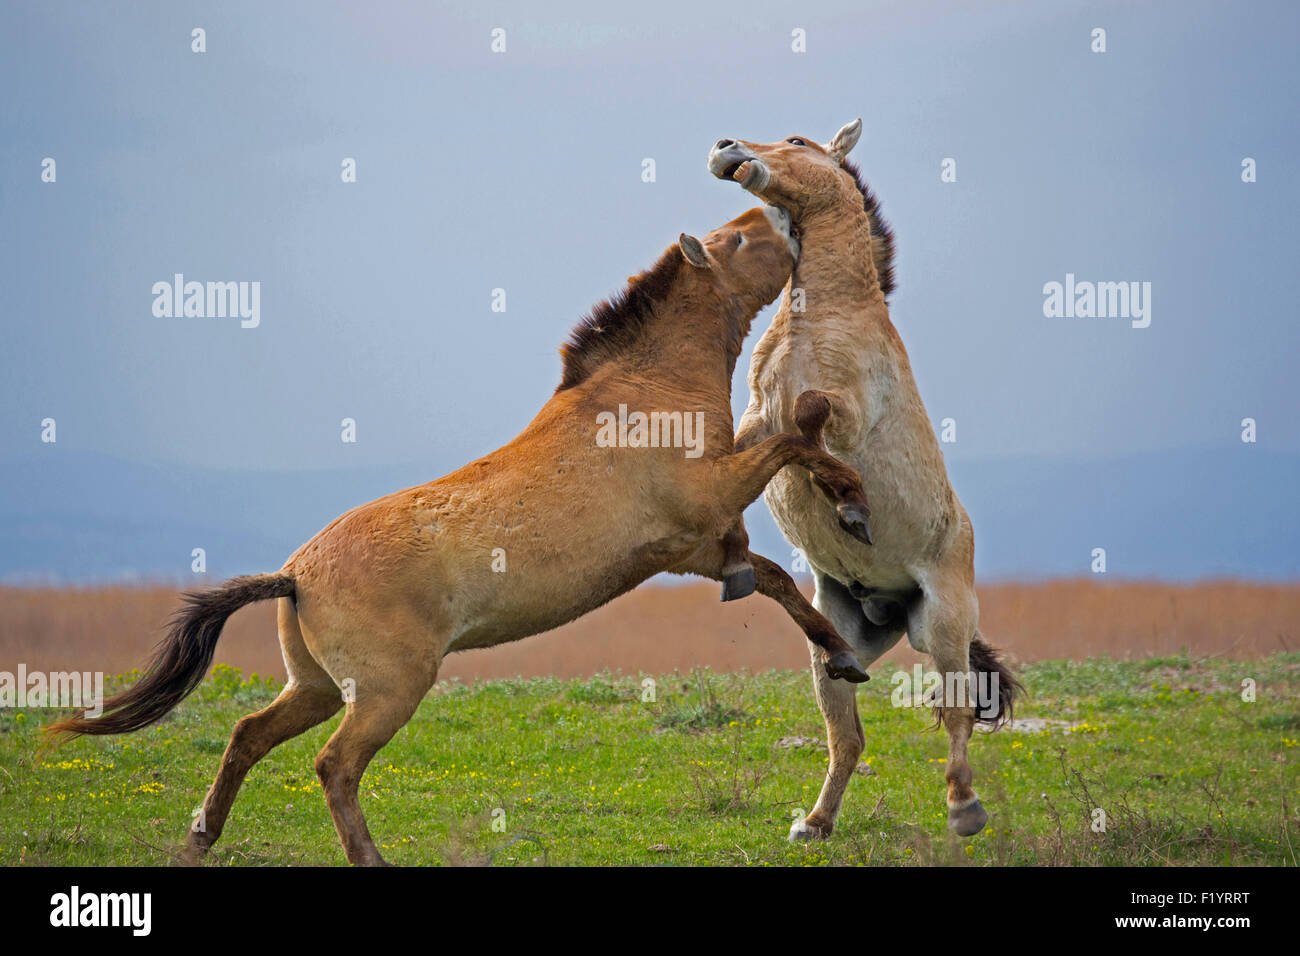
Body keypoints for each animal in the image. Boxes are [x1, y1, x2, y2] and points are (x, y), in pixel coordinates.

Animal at [45, 205, 873, 863]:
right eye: (737, 239)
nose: (786, 223)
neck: (646, 392)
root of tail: (296, 575)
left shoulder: (695, 549)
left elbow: (775, 578)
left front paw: (840, 652)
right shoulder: (708, 503)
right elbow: (791, 445)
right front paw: (853, 502)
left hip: (317, 687)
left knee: (250, 733)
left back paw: (200, 836)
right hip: (388, 692)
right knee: (334, 766)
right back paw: (368, 858)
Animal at [707, 123, 1019, 842]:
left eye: (797, 140)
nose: (726, 148)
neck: (821, 316)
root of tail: (892, 608)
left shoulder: (843, 414)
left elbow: (811, 415)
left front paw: (850, 505)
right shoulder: (756, 422)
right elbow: (757, 442)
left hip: (944, 628)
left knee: (957, 713)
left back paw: (965, 809)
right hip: (839, 641)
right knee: (846, 733)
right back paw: (815, 823)